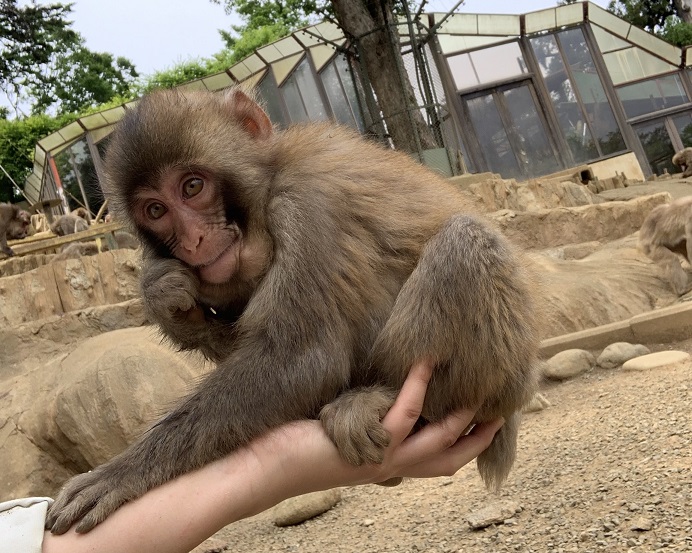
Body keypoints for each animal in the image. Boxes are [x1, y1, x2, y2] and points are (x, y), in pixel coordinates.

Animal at [46, 87, 540, 536]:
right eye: (155, 210)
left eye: (192, 186)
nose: (193, 241)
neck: (268, 189)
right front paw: (164, 297)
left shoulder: (308, 201)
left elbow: (302, 359)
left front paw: (121, 473)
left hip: (501, 370)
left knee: (466, 241)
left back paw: (388, 402)